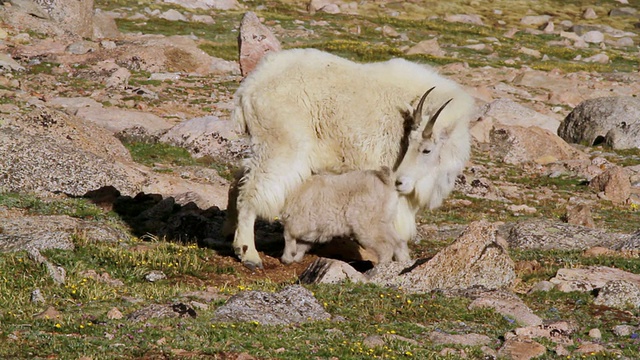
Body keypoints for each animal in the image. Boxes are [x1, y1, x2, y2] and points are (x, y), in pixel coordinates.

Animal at [278, 93, 450, 266]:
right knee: (399, 243)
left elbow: (288, 237)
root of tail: (387, 183)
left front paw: (286, 258)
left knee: (386, 248)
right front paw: (294, 258)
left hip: (368, 227)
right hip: (385, 223)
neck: (293, 189)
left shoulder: (295, 223)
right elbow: (301, 245)